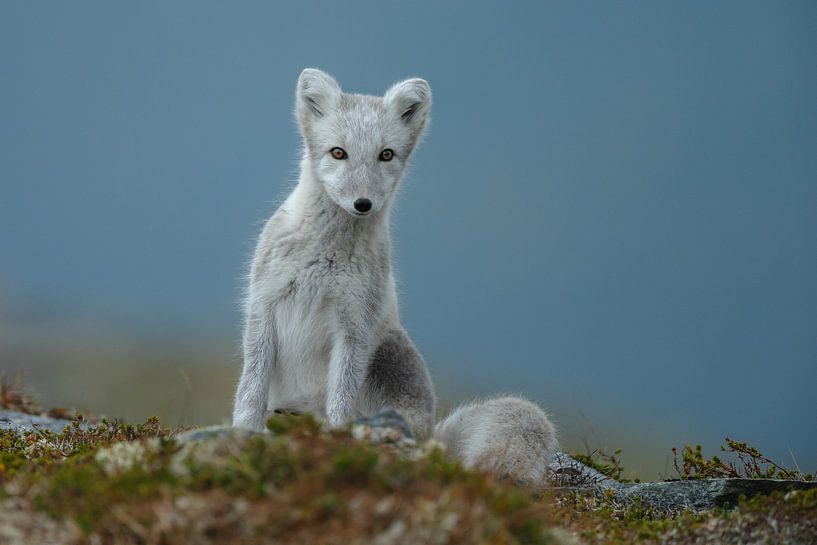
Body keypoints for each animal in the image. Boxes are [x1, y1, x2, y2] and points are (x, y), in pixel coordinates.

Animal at [233, 69, 556, 484]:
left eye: (385, 154)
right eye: (338, 152)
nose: (363, 203)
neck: (324, 259)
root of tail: (432, 436)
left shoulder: (354, 326)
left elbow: (341, 398)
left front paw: (334, 441)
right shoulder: (263, 307)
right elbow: (251, 387)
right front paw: (243, 430)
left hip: (387, 350)